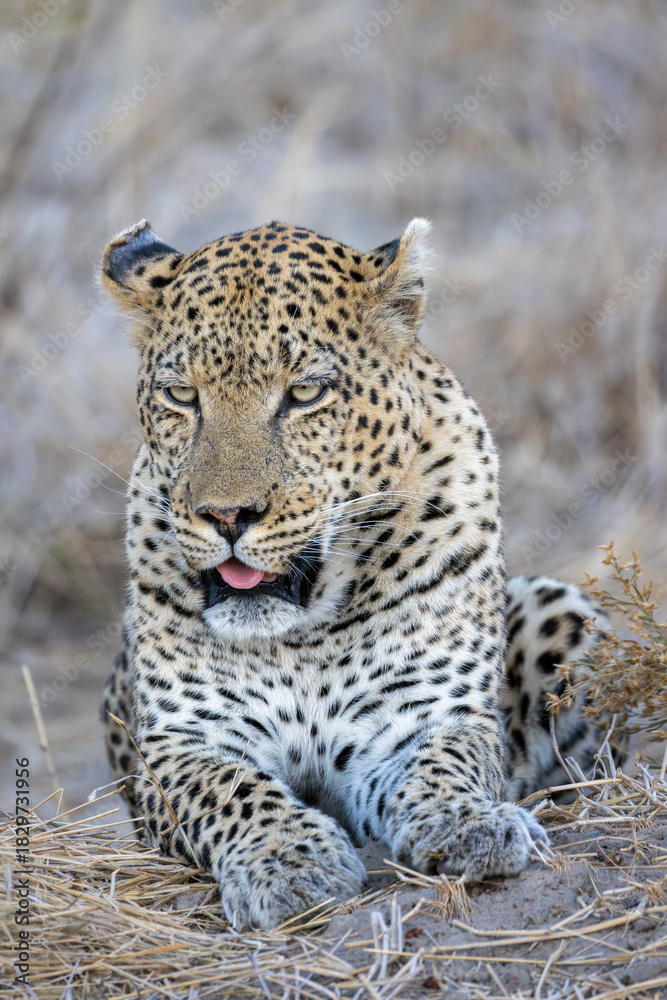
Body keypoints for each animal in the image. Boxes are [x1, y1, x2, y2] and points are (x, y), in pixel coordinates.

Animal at [100, 217, 613, 931]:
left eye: (304, 393)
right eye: (181, 396)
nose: (227, 515)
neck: (301, 632)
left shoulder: (421, 716)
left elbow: (446, 762)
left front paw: (473, 825)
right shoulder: (180, 744)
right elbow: (232, 790)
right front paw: (289, 864)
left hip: (559, 610)